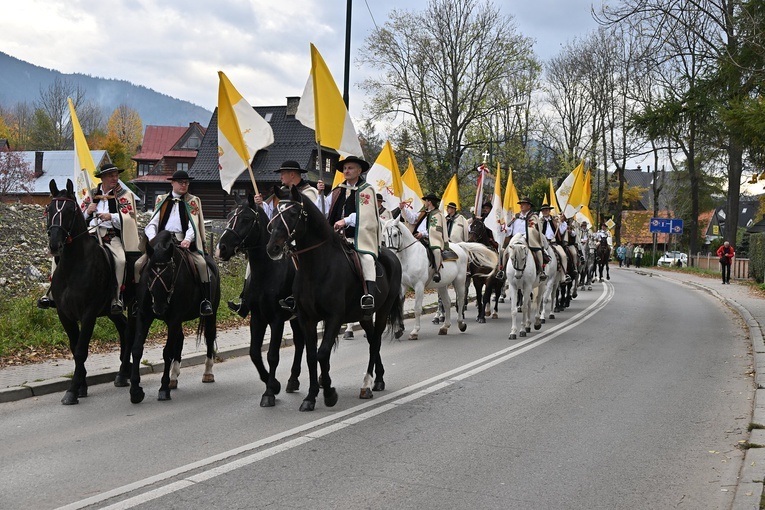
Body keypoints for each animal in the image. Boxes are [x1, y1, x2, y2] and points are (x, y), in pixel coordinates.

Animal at [44, 177, 133, 404]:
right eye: (49, 209)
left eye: (69, 211)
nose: (55, 245)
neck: (73, 266)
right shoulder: (65, 314)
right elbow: (74, 348)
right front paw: (81, 386)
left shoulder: (89, 314)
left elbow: (81, 351)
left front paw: (72, 390)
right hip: (111, 311)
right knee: (125, 329)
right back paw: (123, 374)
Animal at [130, 230, 219, 402]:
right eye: (149, 274)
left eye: (170, 274)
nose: (159, 307)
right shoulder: (144, 316)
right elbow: (137, 348)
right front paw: (135, 390)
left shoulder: (175, 318)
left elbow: (167, 352)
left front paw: (163, 389)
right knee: (180, 339)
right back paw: (173, 376)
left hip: (210, 313)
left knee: (210, 336)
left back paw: (208, 372)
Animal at [213, 193, 306, 408]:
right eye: (229, 216)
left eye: (246, 219)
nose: (221, 248)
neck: (266, 271)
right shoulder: (257, 318)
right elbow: (254, 353)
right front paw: (273, 385)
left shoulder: (277, 319)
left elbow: (272, 355)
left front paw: (269, 392)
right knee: (299, 342)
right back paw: (292, 380)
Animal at [264, 185, 402, 412]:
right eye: (275, 212)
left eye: (293, 214)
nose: (272, 248)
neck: (316, 268)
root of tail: (391, 256)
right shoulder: (307, 319)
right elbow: (312, 356)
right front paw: (311, 397)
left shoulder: (334, 317)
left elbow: (322, 353)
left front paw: (329, 393)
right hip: (364, 316)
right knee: (372, 339)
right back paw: (379, 379)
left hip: (382, 311)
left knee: (375, 342)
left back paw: (366, 384)